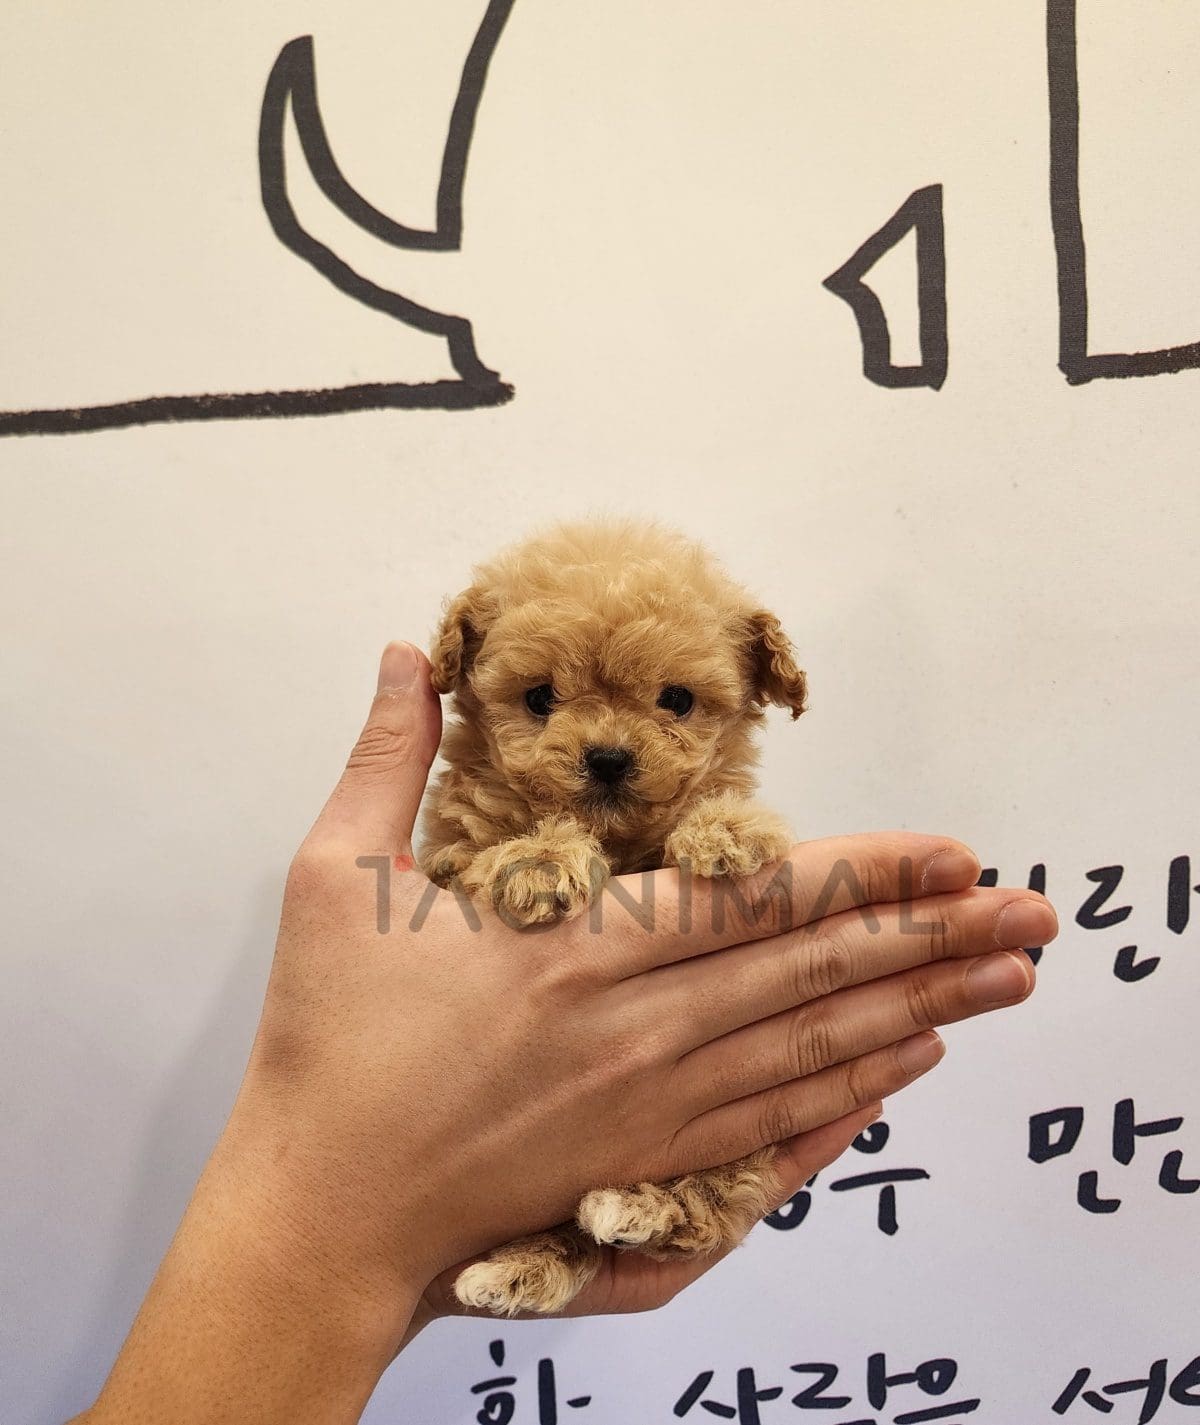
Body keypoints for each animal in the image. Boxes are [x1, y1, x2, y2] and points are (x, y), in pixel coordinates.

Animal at [419, 519, 808, 1316]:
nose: (607, 757)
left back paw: (635, 1208)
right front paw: (541, 860)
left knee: (706, 1201)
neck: (620, 839)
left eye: (677, 699)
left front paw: (725, 830)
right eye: (540, 697)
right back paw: (520, 1267)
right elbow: (499, 851)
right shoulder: (454, 854)